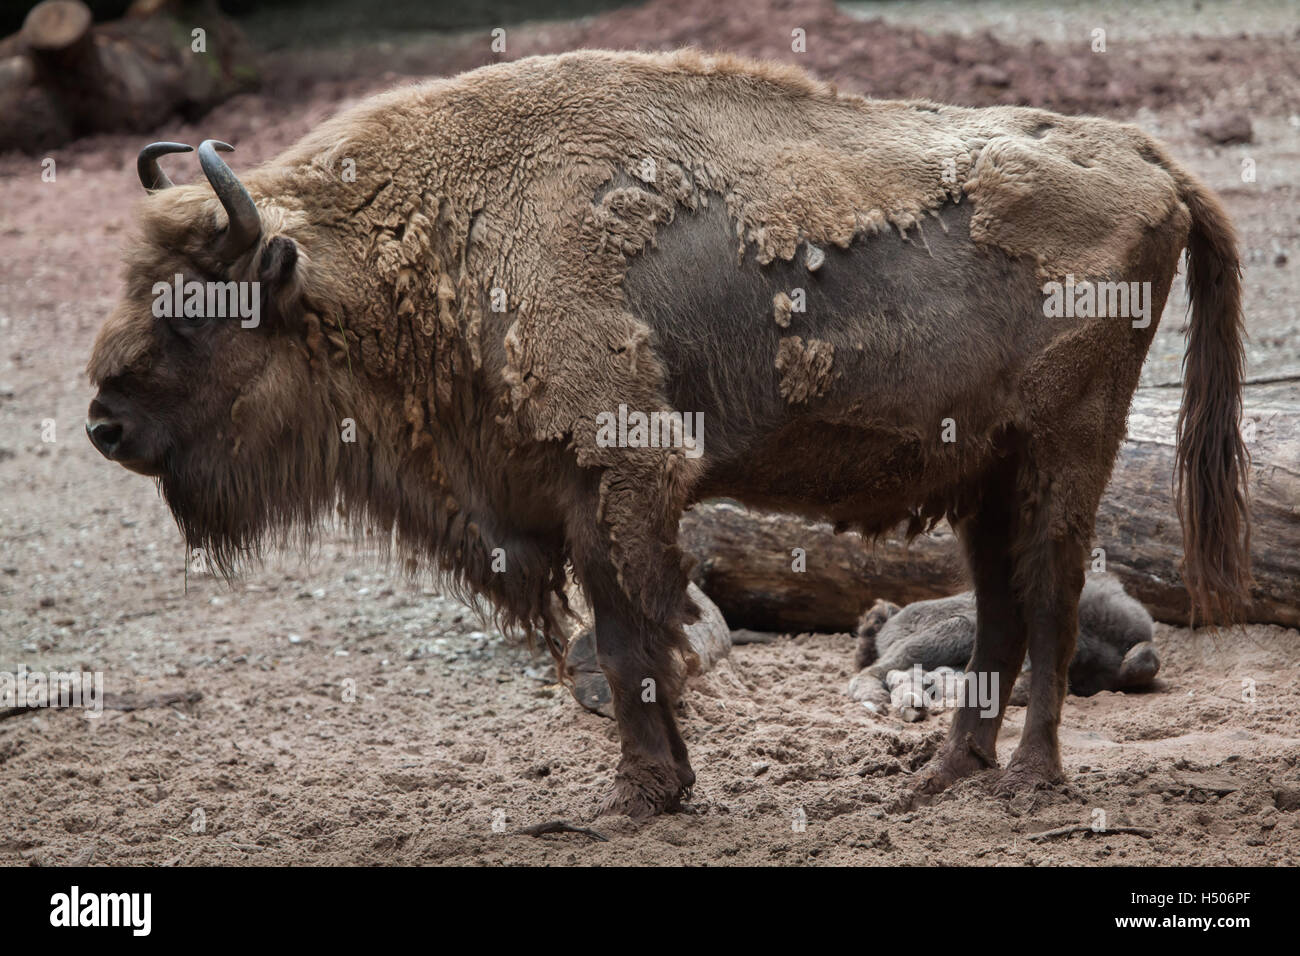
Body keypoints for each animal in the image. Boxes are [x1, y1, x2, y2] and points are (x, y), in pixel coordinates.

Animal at [83, 50, 1248, 816]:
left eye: (193, 310)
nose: (103, 422)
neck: (443, 233)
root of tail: (1147, 154)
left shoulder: (620, 474)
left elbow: (627, 631)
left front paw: (639, 793)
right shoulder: (564, 492)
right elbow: (629, 631)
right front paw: (665, 780)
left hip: (1064, 450)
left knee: (1048, 596)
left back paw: (1030, 781)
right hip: (984, 470)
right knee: (1002, 606)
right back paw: (940, 775)